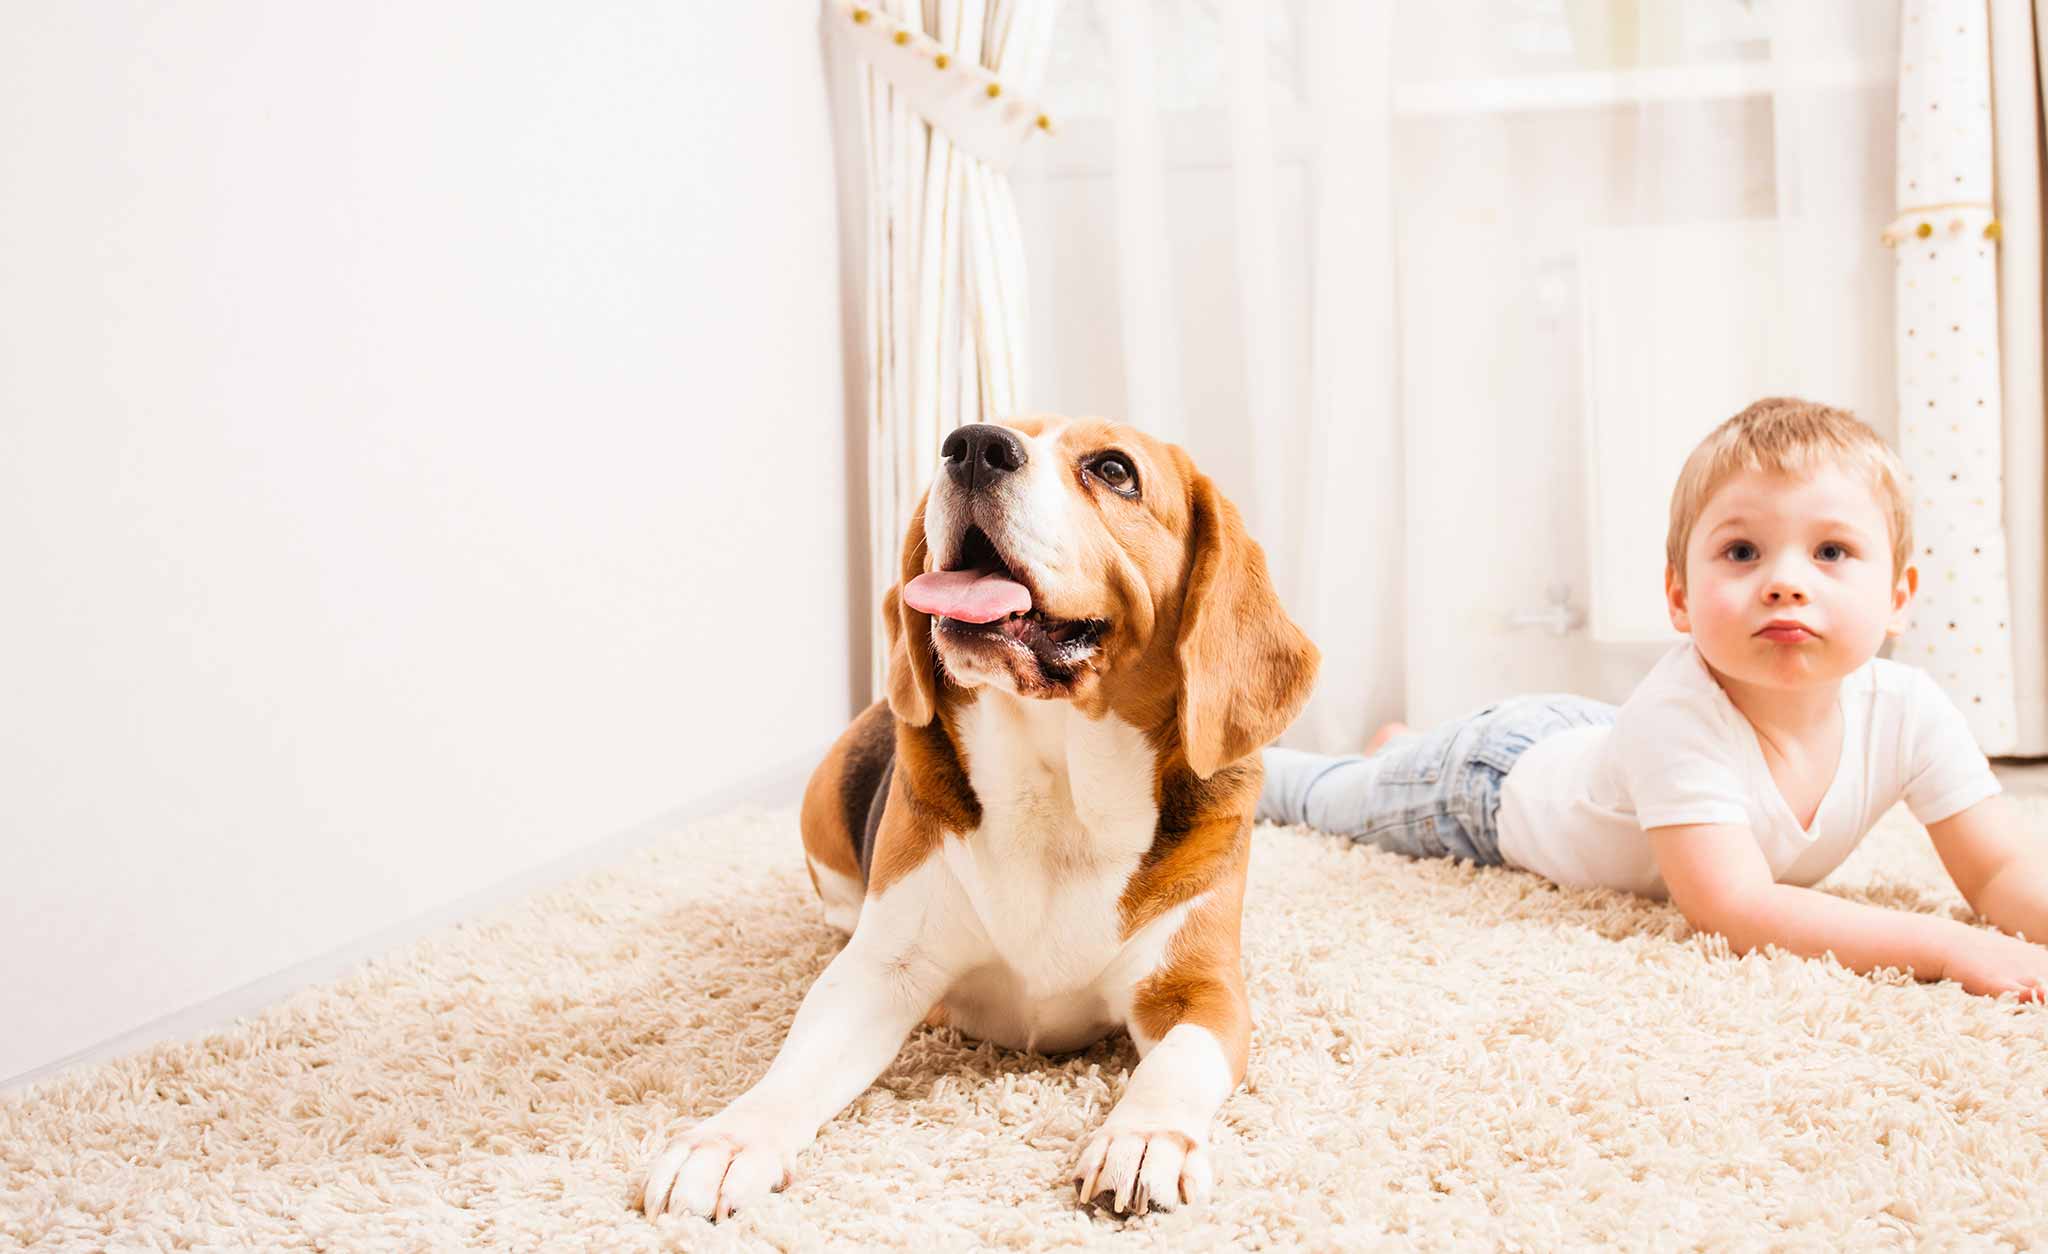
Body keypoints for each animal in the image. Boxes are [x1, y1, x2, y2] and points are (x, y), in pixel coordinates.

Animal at [630, 415, 1318, 1221]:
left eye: (1114, 470)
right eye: (976, 433)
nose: (973, 446)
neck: (1059, 798)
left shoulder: (1201, 989)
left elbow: (1178, 1063)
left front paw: (1145, 1138)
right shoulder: (879, 973)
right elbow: (795, 1068)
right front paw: (729, 1140)